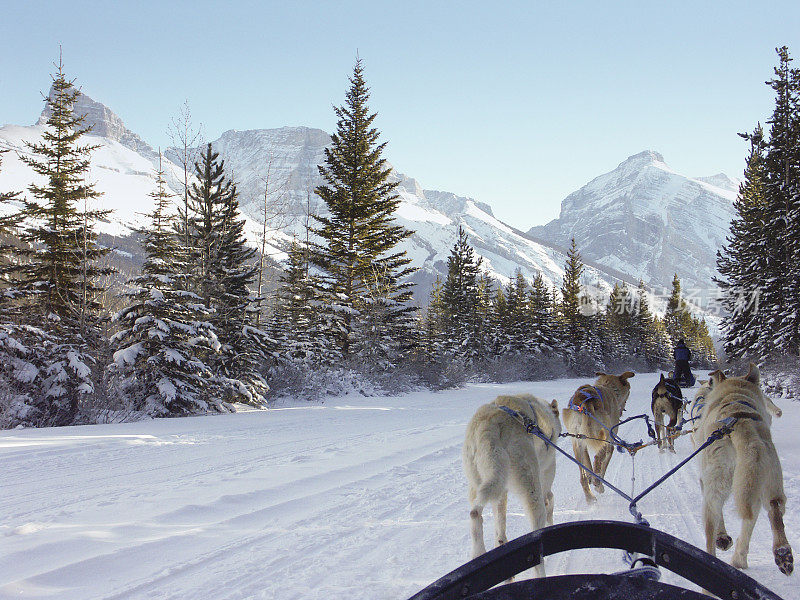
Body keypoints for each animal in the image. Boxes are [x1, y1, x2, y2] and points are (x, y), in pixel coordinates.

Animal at [462, 394, 564, 576]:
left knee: (480, 518)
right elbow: (550, 500)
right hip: (531, 489)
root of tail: (489, 428)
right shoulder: (547, 470)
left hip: (484, 485)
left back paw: (481, 552)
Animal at [560, 372, 636, 504]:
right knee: (598, 458)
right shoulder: (610, 442)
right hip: (603, 436)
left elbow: (588, 464)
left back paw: (590, 496)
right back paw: (597, 482)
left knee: (583, 477)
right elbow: (604, 464)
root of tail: (585, 405)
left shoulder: (583, 442)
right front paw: (599, 484)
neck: (608, 387)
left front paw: (591, 477)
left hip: (577, 442)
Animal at [696, 364, 792, 576]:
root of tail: (741, 423)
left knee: (711, 528)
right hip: (766, 477)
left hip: (716, 486)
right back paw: (780, 553)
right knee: (772, 508)